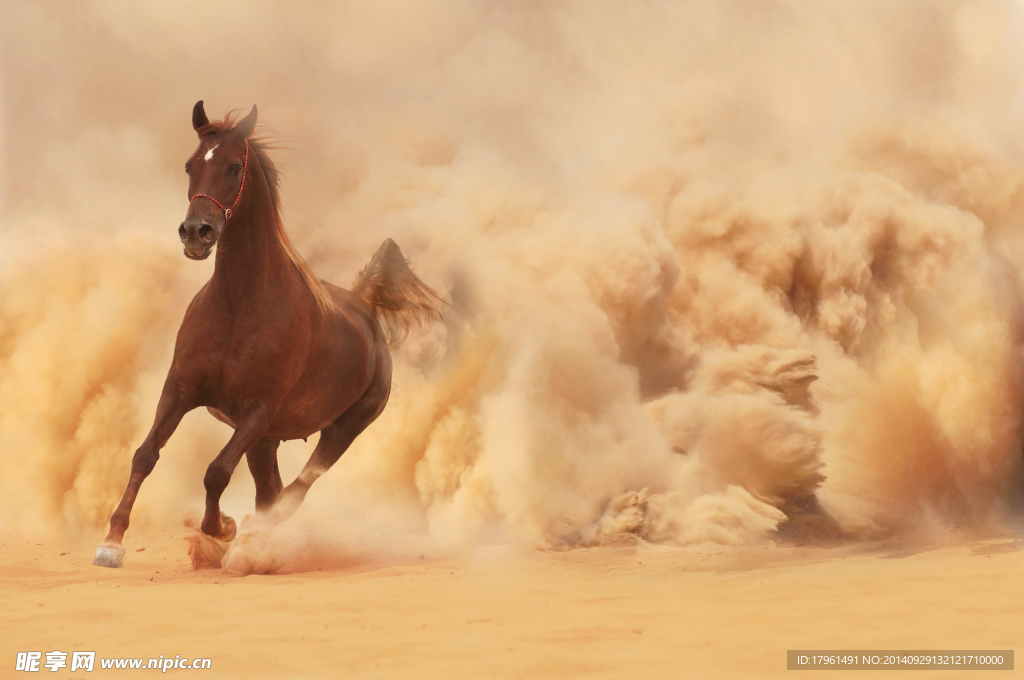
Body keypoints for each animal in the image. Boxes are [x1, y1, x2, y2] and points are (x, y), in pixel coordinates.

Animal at [93, 101, 444, 568]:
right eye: (190, 165)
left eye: (233, 167)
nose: (196, 233)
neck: (239, 306)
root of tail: (365, 307)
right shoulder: (181, 389)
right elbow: (145, 455)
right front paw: (111, 543)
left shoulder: (257, 410)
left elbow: (216, 471)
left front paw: (224, 527)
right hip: (268, 441)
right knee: (271, 490)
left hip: (341, 429)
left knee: (293, 493)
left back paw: (251, 540)